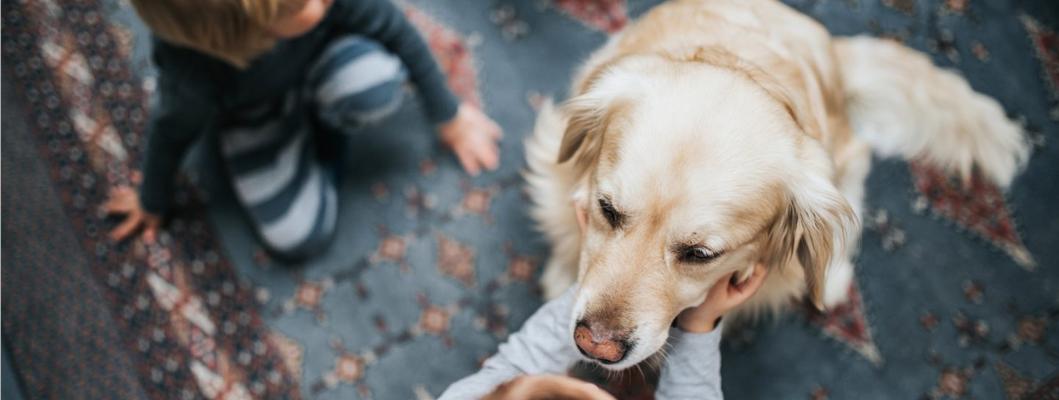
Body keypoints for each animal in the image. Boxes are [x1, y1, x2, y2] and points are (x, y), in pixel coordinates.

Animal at [525, 0, 1029, 368]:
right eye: (607, 209)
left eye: (700, 255)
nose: (594, 345)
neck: (741, 62)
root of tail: (834, 50)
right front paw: (562, 272)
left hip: (843, 158)